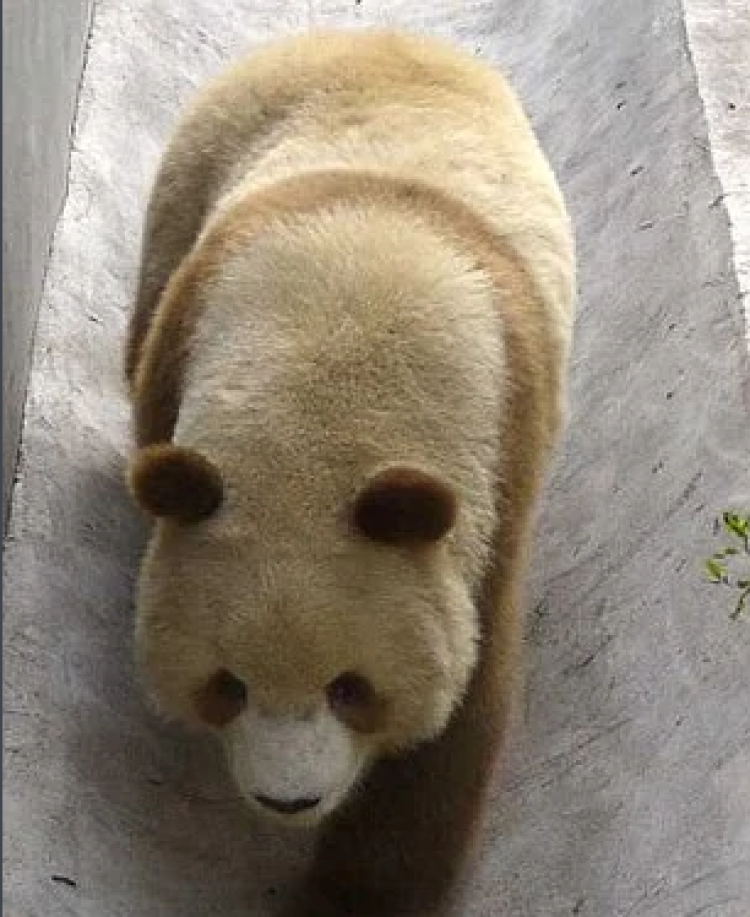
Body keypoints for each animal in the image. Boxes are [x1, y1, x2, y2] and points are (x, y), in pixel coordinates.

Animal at [125, 29, 575, 917]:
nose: (289, 799)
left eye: (351, 687)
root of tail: (376, 34)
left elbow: (457, 716)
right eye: (227, 684)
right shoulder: (190, 328)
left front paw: (358, 892)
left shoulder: (495, 481)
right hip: (198, 167)